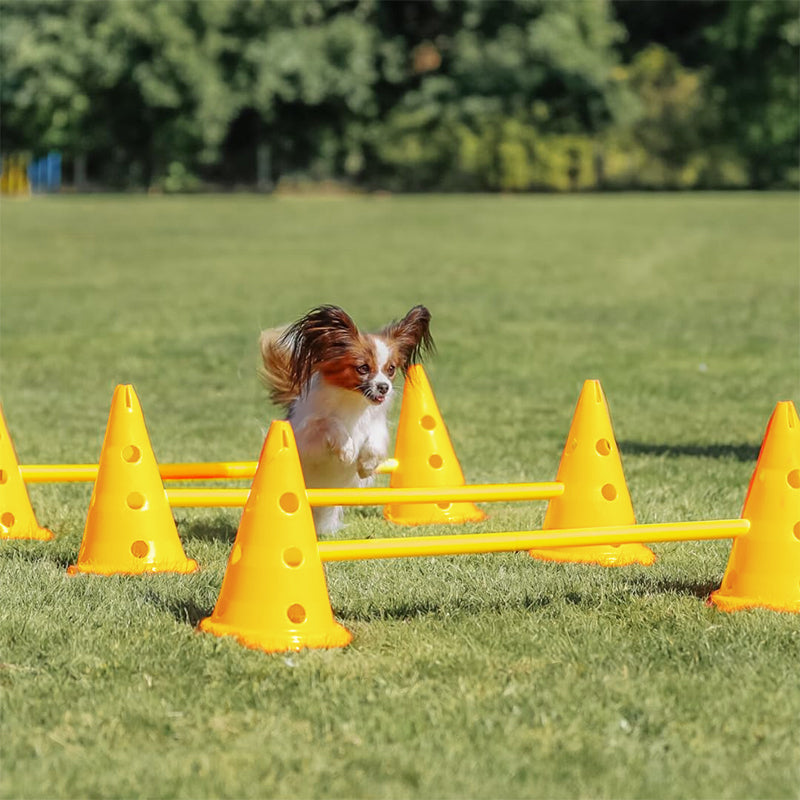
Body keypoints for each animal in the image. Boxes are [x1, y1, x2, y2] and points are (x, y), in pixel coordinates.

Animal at [258, 304, 432, 536]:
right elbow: (330, 423)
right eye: (363, 368)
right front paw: (347, 450)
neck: (353, 401)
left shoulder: (376, 425)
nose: (384, 387)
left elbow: (375, 441)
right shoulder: (306, 439)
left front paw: (366, 464)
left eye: (391, 369)